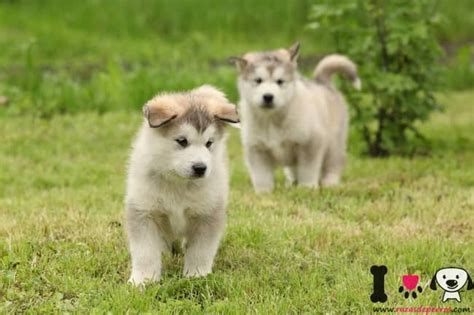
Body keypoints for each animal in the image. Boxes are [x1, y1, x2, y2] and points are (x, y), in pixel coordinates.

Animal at [125, 84, 239, 286]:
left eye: (209, 143)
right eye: (182, 141)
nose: (200, 168)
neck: (178, 183)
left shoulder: (207, 213)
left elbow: (201, 250)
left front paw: (196, 275)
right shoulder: (144, 211)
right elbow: (145, 252)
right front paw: (143, 280)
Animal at [231, 42, 362, 193]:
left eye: (280, 81)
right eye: (258, 80)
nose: (268, 96)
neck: (272, 119)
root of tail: (322, 82)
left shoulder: (311, 143)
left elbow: (307, 170)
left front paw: (307, 187)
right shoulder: (256, 148)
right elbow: (261, 176)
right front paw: (264, 193)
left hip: (334, 144)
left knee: (333, 164)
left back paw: (330, 183)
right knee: (294, 169)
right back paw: (292, 183)